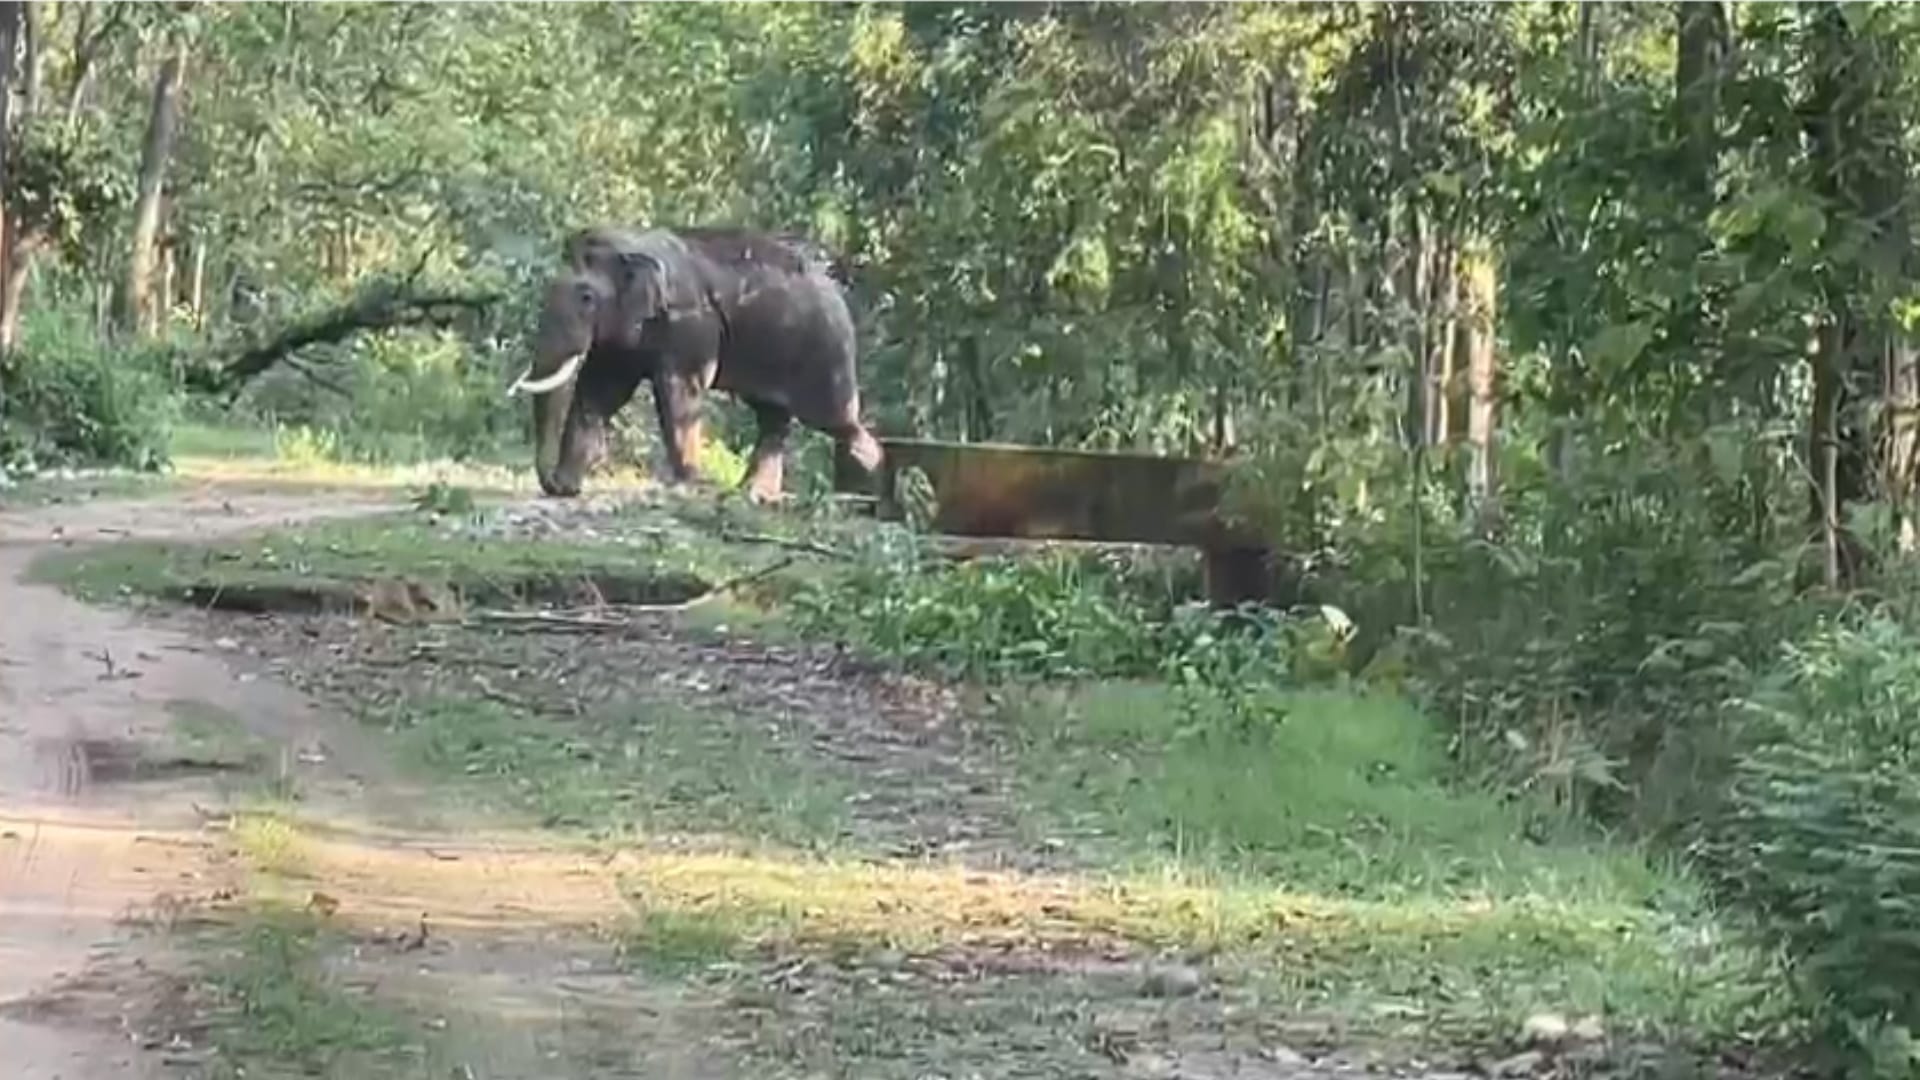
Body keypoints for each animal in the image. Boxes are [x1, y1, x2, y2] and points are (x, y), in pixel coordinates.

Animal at [507, 225, 884, 500]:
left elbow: (679, 394)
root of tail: (836, 288)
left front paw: (687, 483)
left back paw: (872, 478)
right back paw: (753, 495)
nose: (553, 483)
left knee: (835, 420)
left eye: (587, 298)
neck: (633, 244)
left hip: (826, 352)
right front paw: (569, 488)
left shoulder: (689, 326)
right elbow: (598, 391)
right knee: (773, 419)